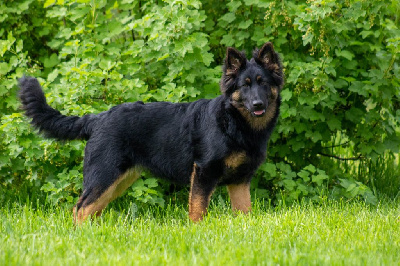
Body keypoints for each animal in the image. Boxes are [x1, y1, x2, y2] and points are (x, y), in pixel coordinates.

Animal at [17, 42, 282, 223]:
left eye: (263, 83)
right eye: (244, 86)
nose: (258, 104)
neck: (234, 123)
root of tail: (98, 117)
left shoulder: (240, 181)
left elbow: (244, 213)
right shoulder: (203, 172)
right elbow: (197, 211)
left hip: (116, 182)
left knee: (90, 210)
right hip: (104, 176)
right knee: (80, 209)